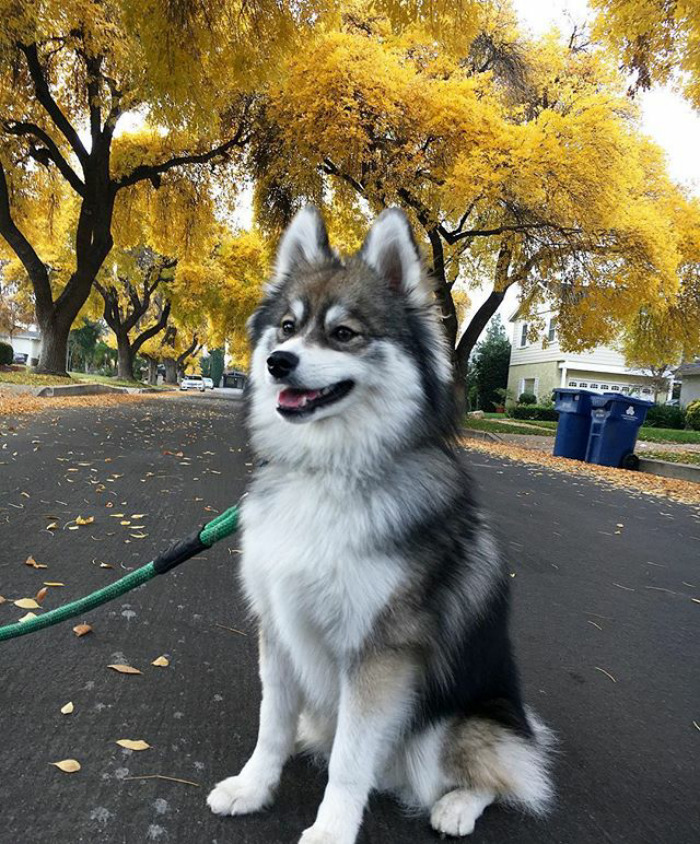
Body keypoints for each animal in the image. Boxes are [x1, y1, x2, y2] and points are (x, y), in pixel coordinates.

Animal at [208, 206, 552, 844]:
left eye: (343, 333)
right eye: (287, 327)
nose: (277, 363)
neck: (328, 471)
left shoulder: (379, 654)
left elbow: (349, 760)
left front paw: (331, 829)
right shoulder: (278, 628)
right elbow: (272, 723)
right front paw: (253, 786)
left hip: (457, 727)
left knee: (502, 777)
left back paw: (458, 806)